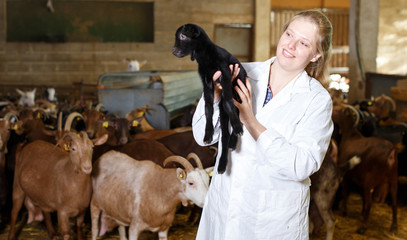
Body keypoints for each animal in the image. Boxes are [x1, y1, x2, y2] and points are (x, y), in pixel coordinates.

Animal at [332, 104, 398, 233]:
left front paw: (344, 212)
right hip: (393, 179)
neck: (350, 135)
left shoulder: (346, 175)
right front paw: (361, 213)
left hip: (371, 180)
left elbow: (345, 193)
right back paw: (393, 227)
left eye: (337, 110)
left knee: (369, 203)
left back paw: (362, 227)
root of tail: (391, 153)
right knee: (394, 203)